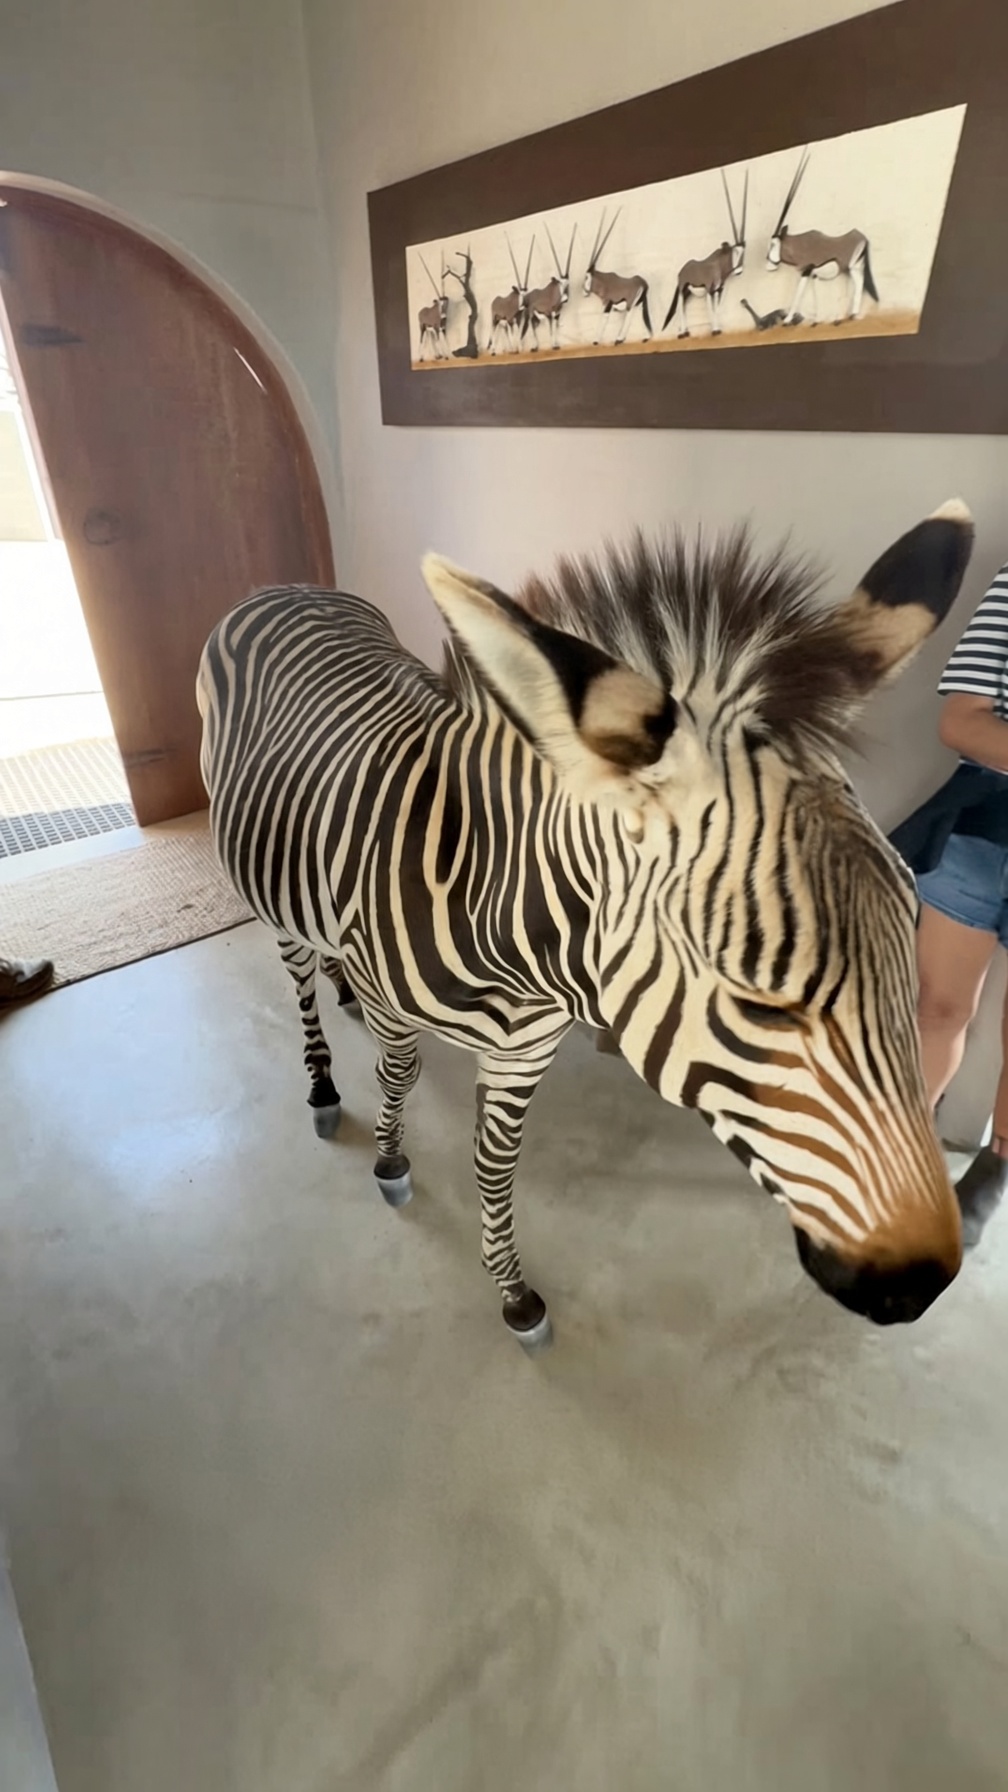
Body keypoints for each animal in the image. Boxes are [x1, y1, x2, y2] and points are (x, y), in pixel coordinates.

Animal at [197, 500, 974, 1350]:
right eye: (757, 1003)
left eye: (911, 928)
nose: (927, 1283)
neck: (510, 936)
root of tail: (286, 587)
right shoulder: (399, 1010)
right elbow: (398, 1076)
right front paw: (391, 1162)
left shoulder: (526, 1050)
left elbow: (495, 1160)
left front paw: (510, 1288)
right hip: (261, 881)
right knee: (297, 972)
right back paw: (321, 1077)